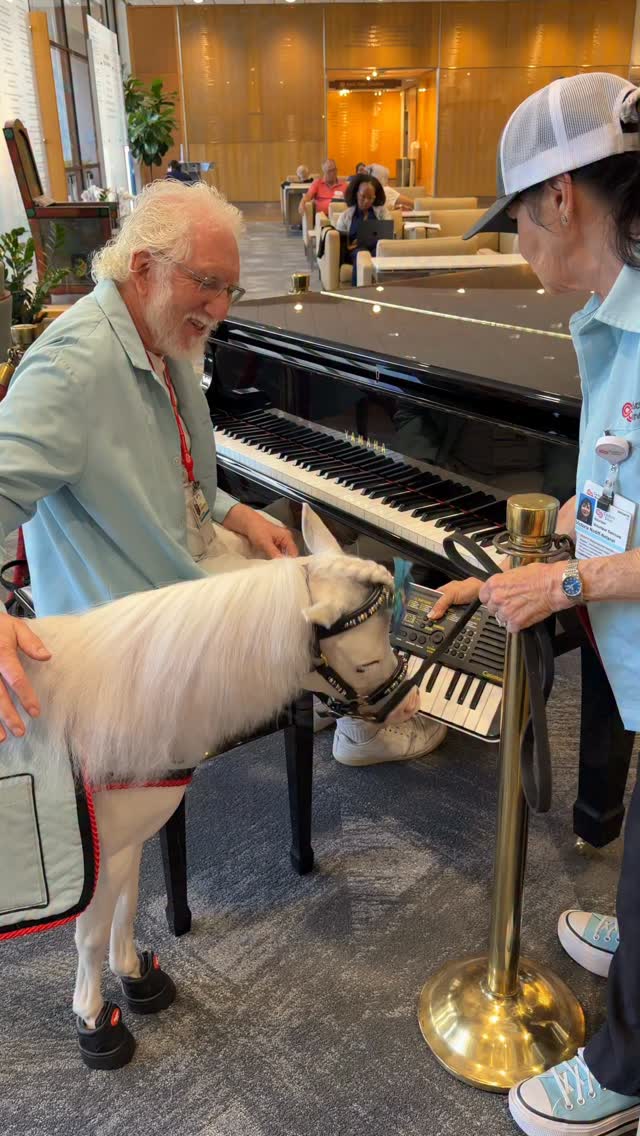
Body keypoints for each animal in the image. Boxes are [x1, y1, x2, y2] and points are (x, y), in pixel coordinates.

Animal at [1, 506, 420, 1069]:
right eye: (365, 662)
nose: (410, 704)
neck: (116, 696)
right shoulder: (98, 853)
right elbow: (89, 935)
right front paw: (94, 1022)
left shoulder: (130, 839)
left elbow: (126, 907)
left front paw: (136, 975)